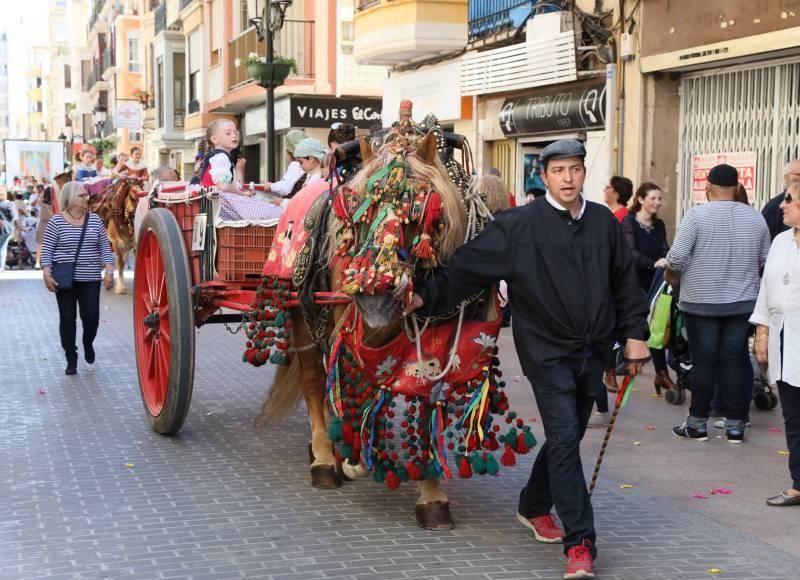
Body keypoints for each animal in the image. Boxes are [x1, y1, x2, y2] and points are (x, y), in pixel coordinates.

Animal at [242, 101, 532, 532]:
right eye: (359, 206)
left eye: (421, 209)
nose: (376, 300)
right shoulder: (353, 326)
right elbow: (353, 383)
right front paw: (353, 457)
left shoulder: (437, 346)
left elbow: (423, 406)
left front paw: (431, 494)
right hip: (301, 313)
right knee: (315, 381)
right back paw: (326, 457)